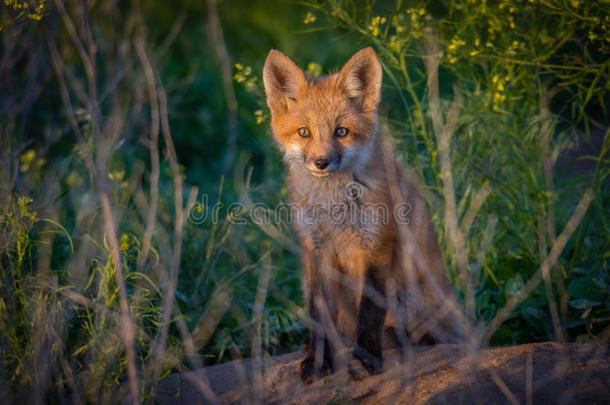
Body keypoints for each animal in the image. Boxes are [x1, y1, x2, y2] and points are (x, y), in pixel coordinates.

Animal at [258, 47, 464, 382]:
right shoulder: (315, 251)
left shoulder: (378, 245)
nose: (321, 162)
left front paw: (367, 358)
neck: (334, 209)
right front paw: (318, 360)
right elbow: (319, 314)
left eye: (342, 132)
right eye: (304, 132)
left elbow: (370, 311)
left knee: (420, 336)